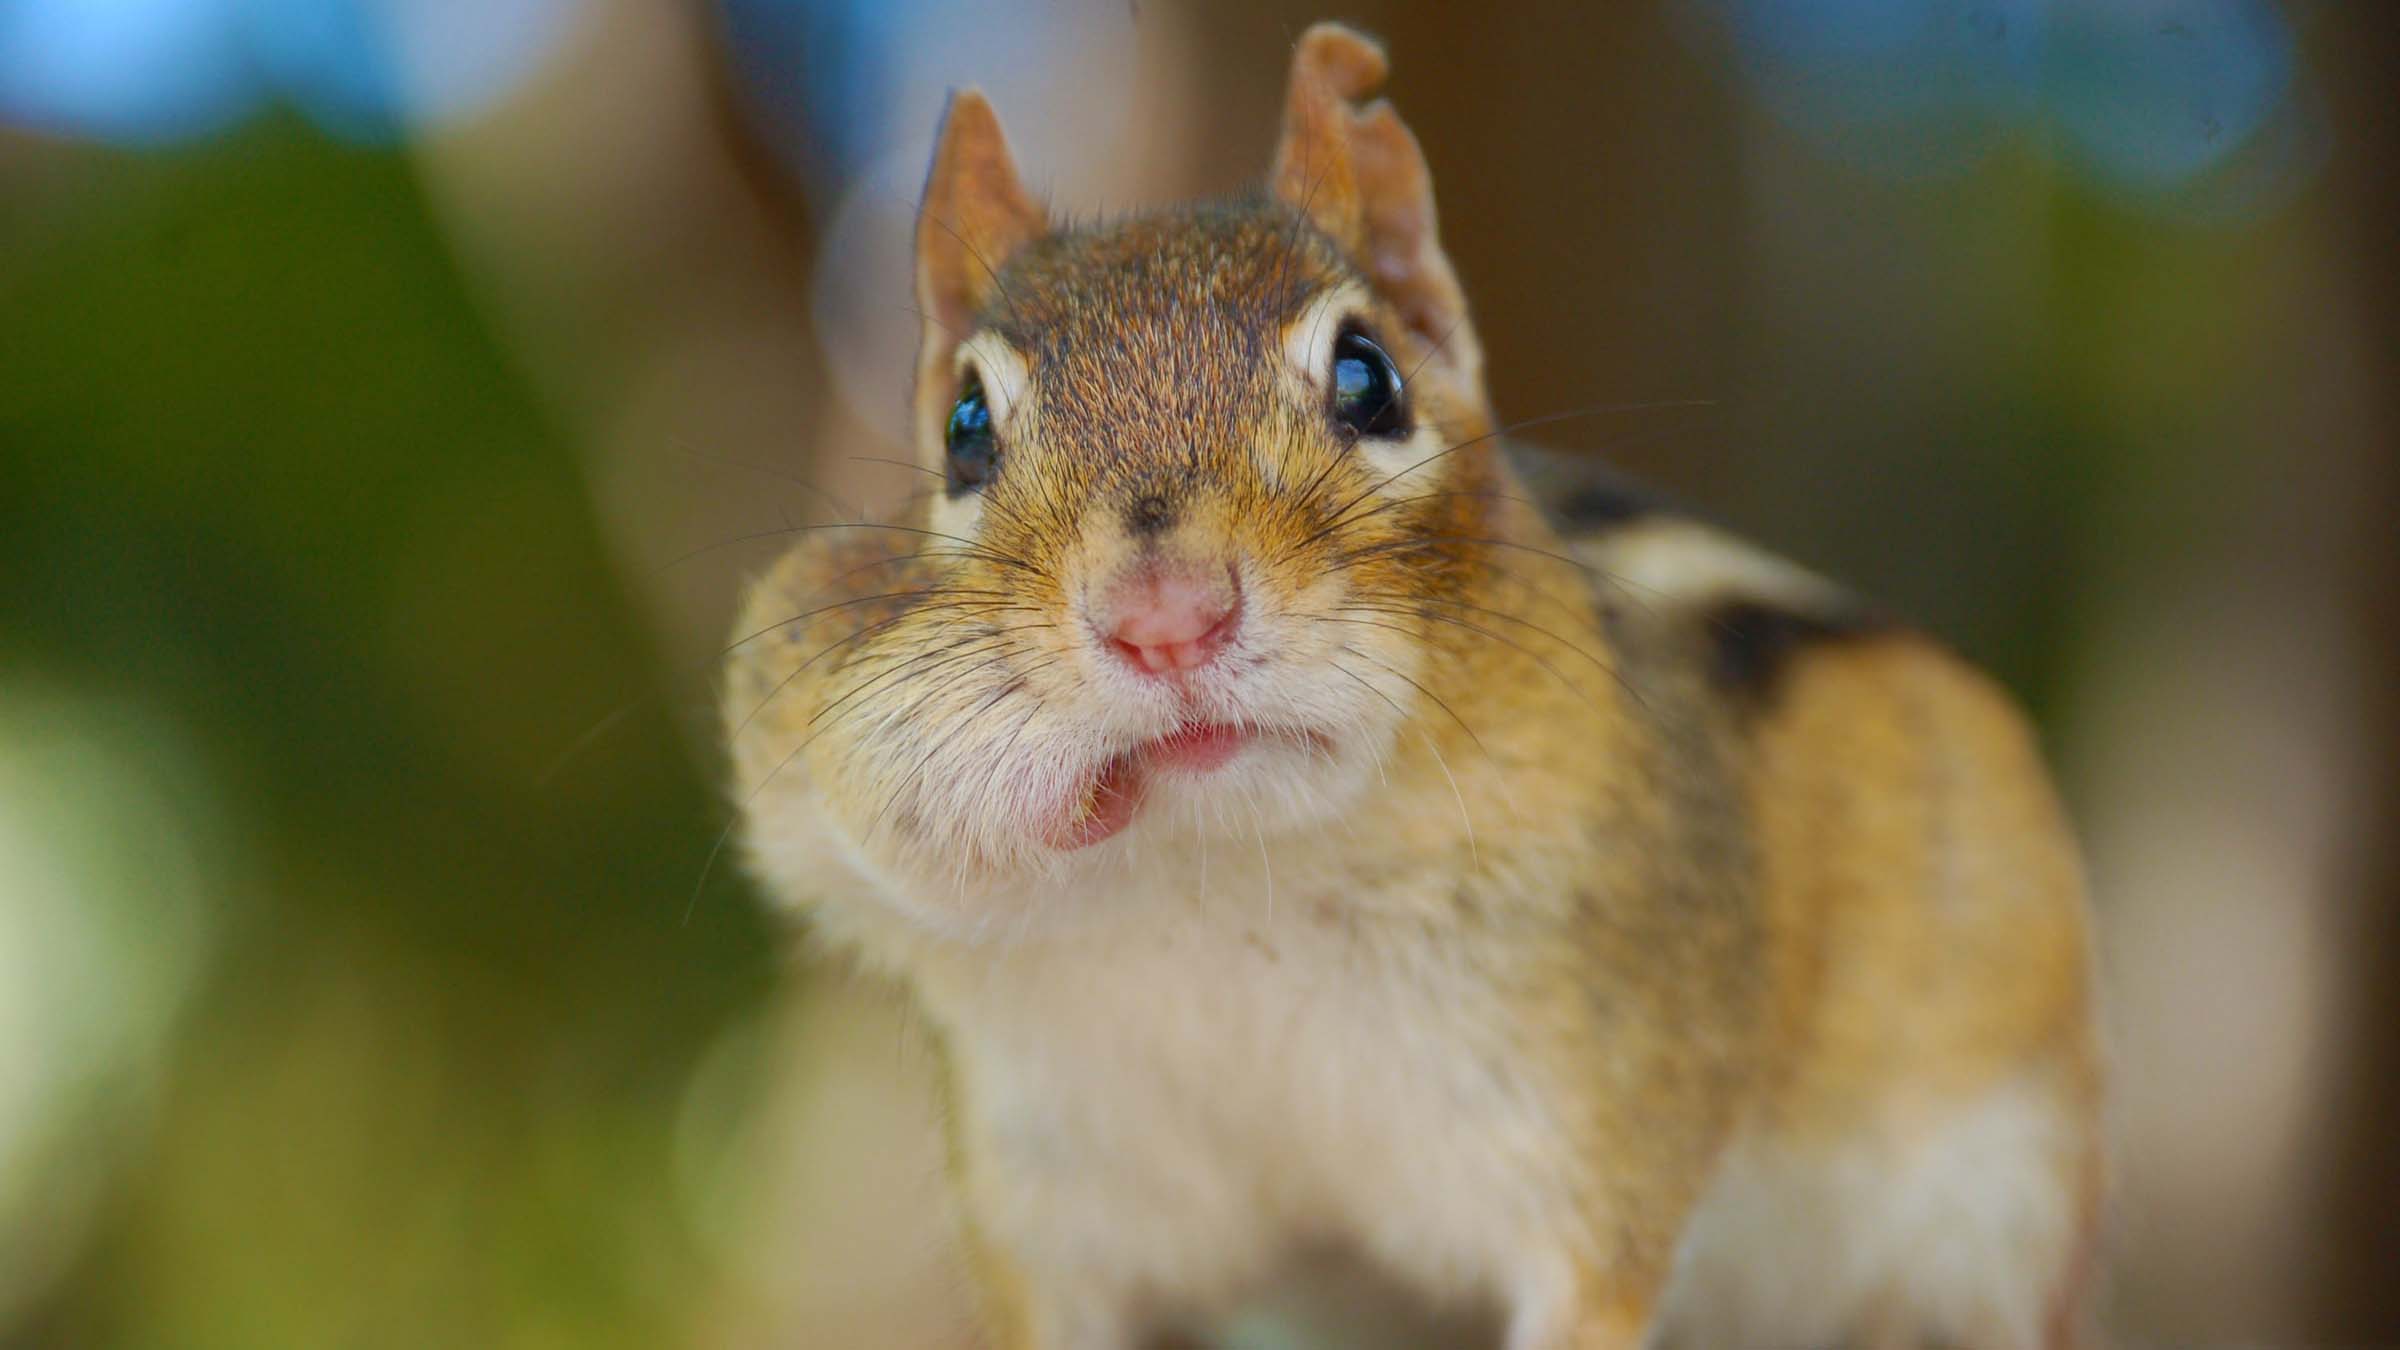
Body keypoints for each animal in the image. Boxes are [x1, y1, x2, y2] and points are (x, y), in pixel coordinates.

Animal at [724, 22, 2103, 1350]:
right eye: (964, 427)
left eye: (1367, 377)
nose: (1165, 619)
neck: (1222, 891)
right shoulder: (1056, 1229)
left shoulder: (1593, 1140)